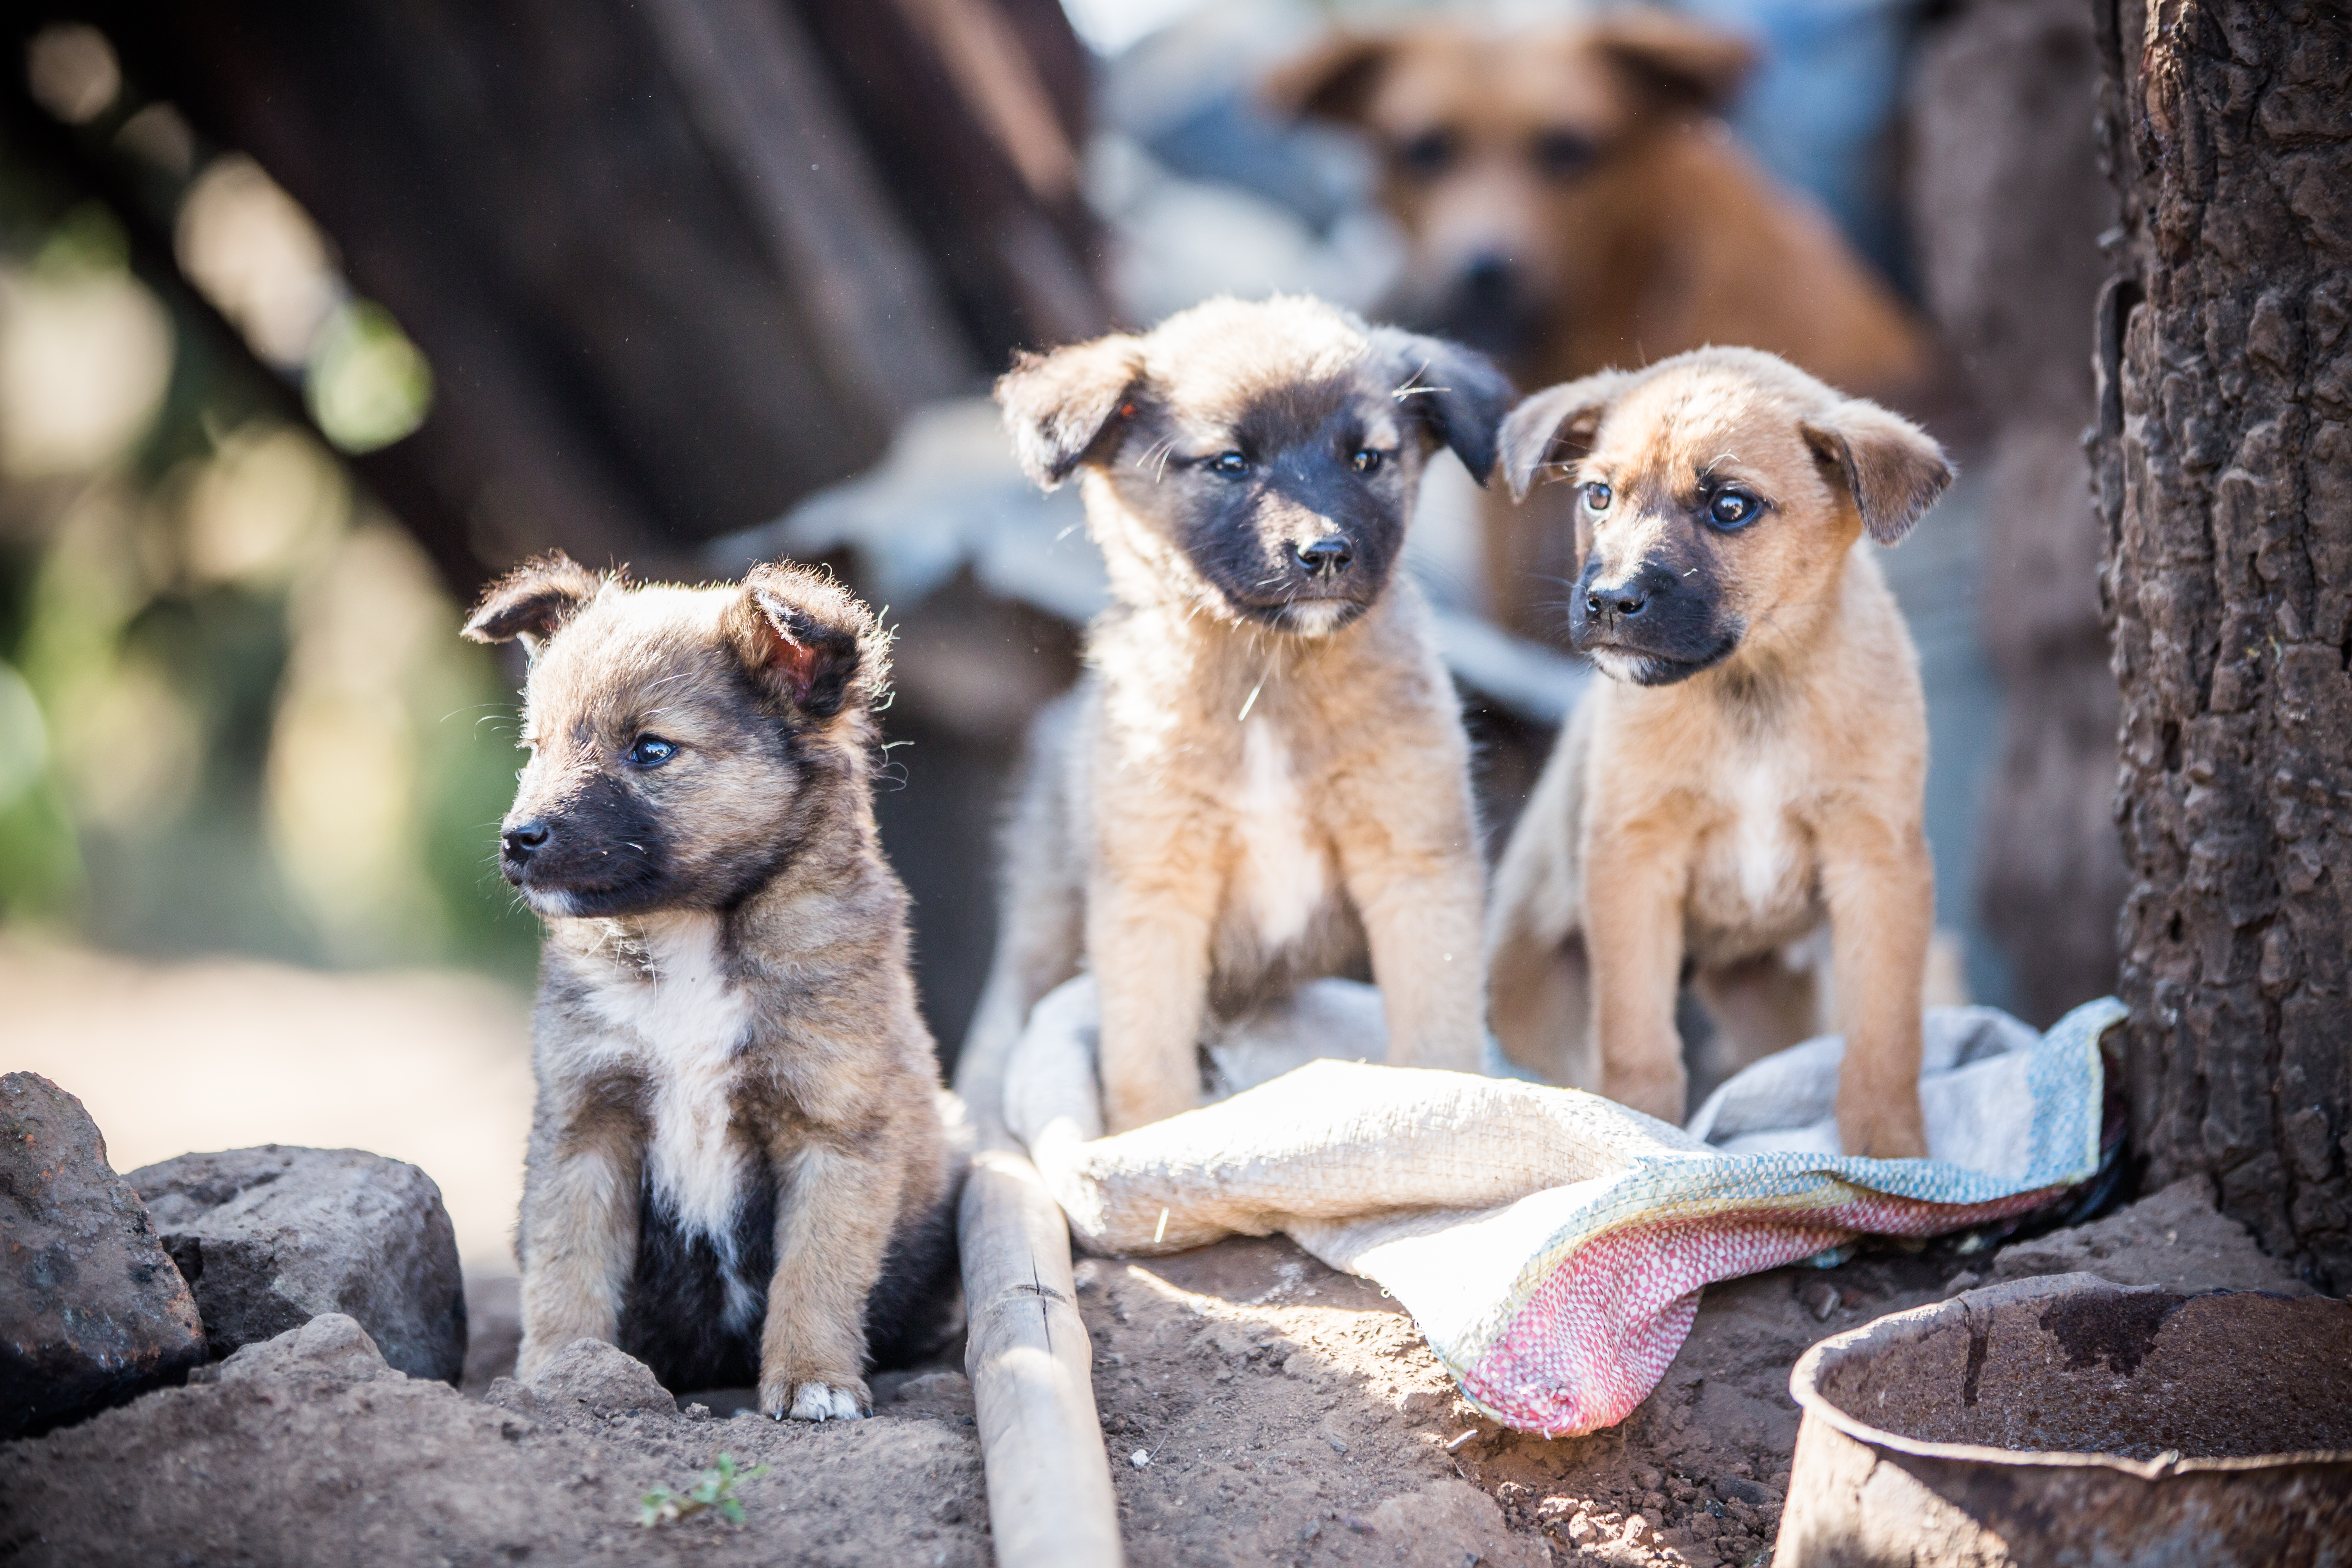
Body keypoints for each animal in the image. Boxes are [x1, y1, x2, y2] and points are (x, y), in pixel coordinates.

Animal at [466, 555, 955, 1420]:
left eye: (652, 749)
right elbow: (566, 1268)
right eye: (538, 746)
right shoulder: (585, 1122)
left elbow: (817, 1272)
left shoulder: (833, 1129)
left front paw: (813, 1378)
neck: (690, 936)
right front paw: (565, 1376)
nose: (518, 839)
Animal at [955, 294, 1505, 1133]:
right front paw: (1151, 1147)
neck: (1267, 683)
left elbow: (1437, 1031)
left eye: (1367, 460)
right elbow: (1147, 1068)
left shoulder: (1416, 861)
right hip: (1044, 936)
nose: (1326, 554)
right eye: (1231, 463)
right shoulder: (1153, 891)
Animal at [1486, 350, 1947, 1161]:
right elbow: (1637, 1042)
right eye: (1598, 496)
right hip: (1535, 986)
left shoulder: (1878, 862)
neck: (1749, 690)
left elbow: (1886, 1033)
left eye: (1731, 507)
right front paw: (1644, 1138)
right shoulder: (1635, 862)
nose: (1610, 601)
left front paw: (1891, 1154)